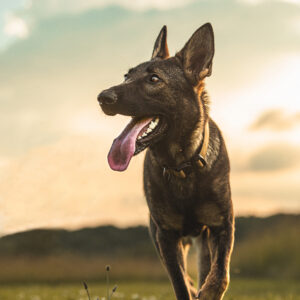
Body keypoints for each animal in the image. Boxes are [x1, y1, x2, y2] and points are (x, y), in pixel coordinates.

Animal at [98, 22, 234, 300]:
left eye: (154, 79)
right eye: (126, 76)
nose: (103, 97)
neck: (183, 166)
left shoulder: (222, 224)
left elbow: (220, 275)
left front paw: (209, 292)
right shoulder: (166, 236)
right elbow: (180, 283)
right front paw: (192, 290)